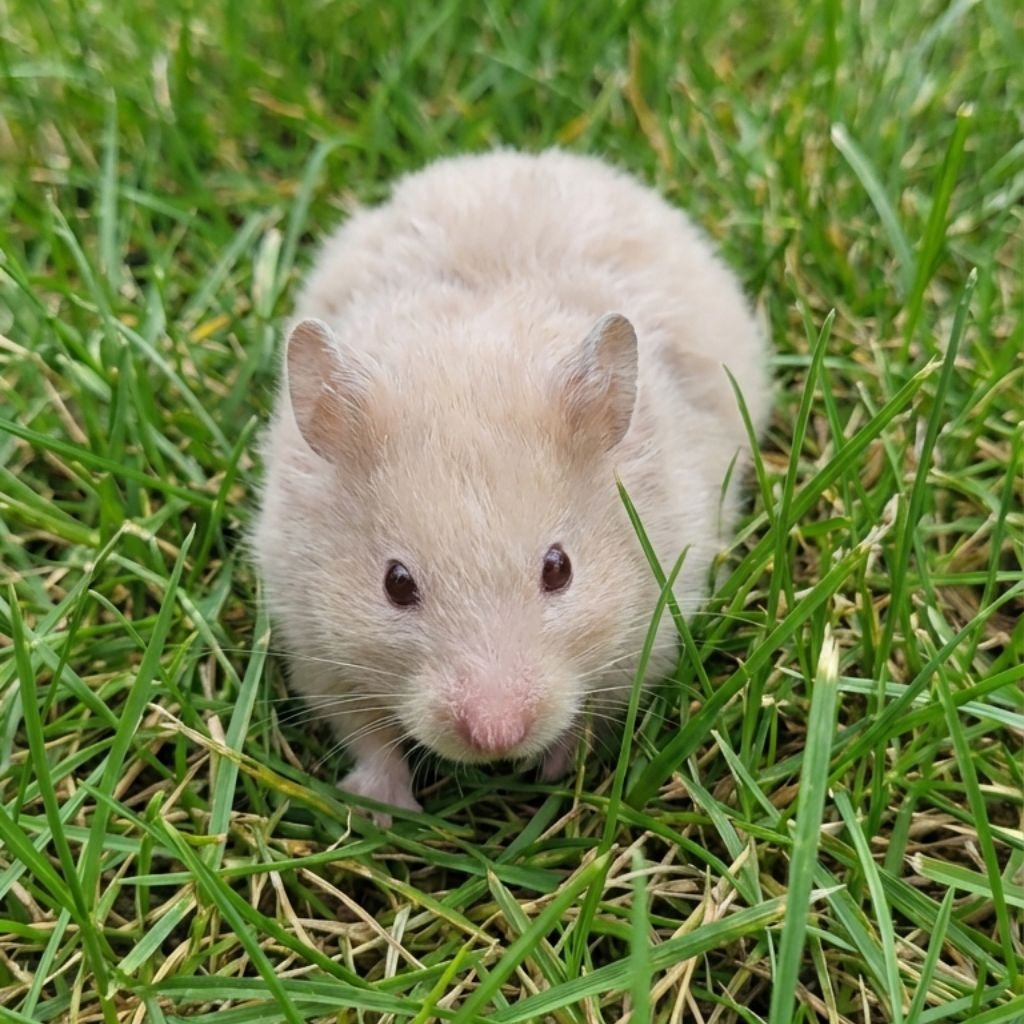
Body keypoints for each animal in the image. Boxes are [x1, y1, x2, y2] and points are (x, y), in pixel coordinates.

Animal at [253, 149, 771, 822]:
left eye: (559, 569)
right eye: (396, 584)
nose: (498, 737)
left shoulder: (648, 630)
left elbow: (595, 717)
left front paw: (553, 771)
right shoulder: (316, 648)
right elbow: (368, 735)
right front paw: (382, 812)